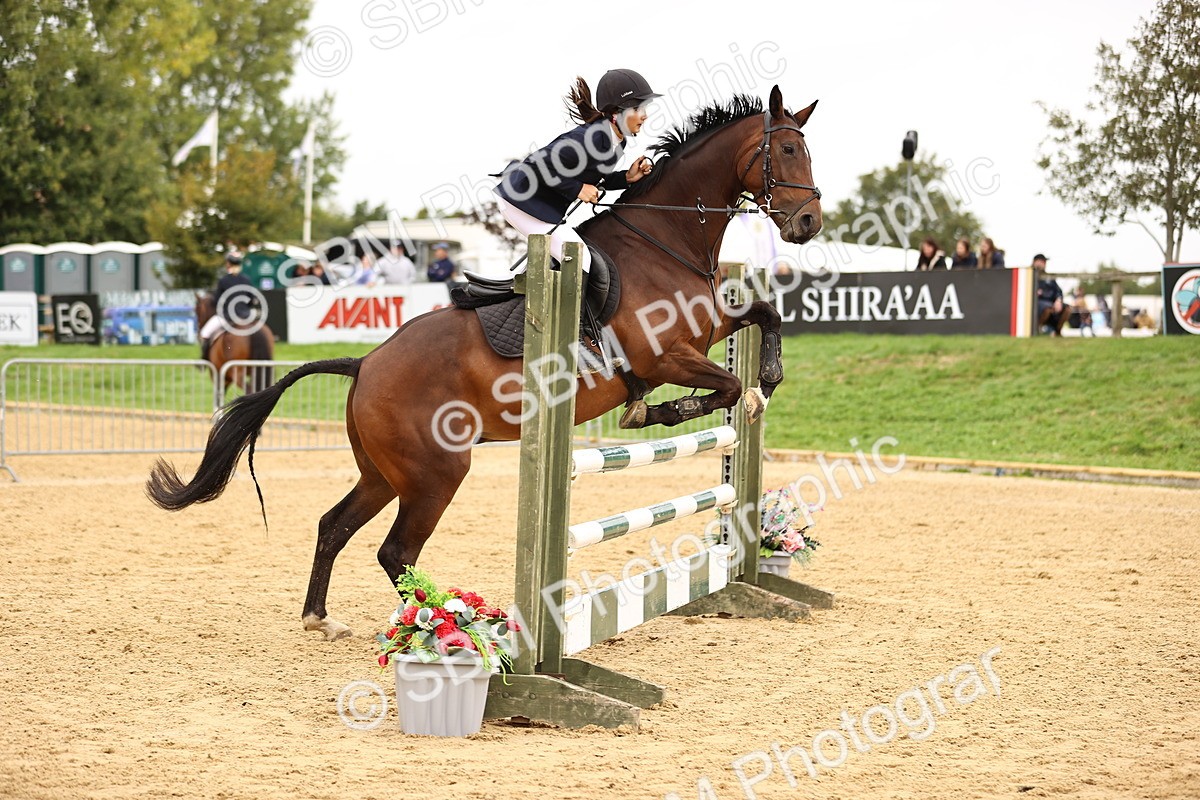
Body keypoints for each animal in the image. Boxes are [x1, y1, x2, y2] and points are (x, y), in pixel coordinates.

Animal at [149, 86, 822, 641]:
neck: (666, 242)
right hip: (436, 472)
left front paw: (761, 380)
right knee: (395, 552)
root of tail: (365, 363)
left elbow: (764, 316)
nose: (810, 222)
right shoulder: (665, 355)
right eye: (788, 149)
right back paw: (447, 627)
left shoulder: (707, 331)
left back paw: (322, 618)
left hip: (384, 473)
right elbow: (726, 385)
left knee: (334, 526)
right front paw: (678, 408)